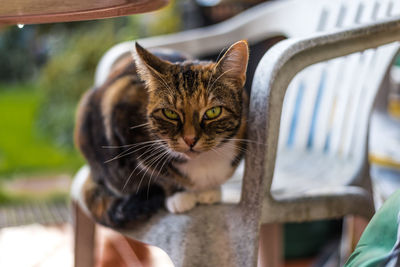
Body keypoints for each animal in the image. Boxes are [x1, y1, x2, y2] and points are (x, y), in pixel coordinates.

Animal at [74, 40, 248, 229]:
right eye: (170, 113)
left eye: (213, 112)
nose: (190, 139)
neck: (204, 163)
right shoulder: (121, 115)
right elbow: (156, 173)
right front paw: (179, 196)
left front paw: (209, 191)